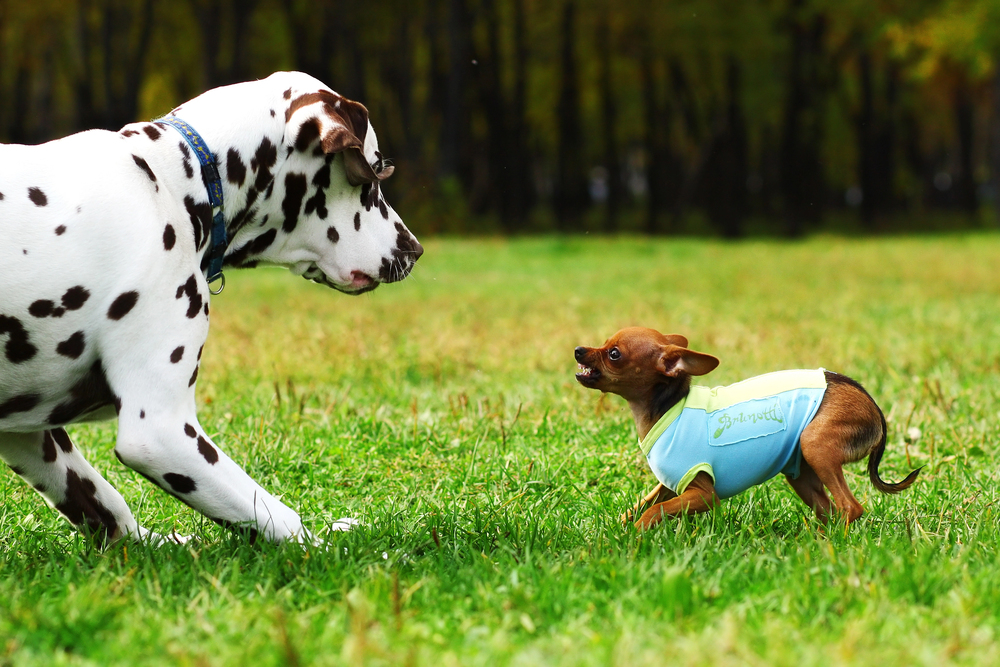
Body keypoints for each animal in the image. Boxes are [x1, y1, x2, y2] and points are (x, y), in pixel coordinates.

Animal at [0, 70, 420, 544]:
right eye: (373, 175)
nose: (415, 249)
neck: (171, 183)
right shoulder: (160, 431)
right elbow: (278, 518)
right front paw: (334, 547)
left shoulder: (27, 434)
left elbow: (107, 508)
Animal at [576, 326, 916, 528]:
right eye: (603, 343)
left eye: (614, 354)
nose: (579, 349)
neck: (668, 408)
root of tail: (873, 407)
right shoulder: (670, 485)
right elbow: (642, 504)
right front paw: (617, 528)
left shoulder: (703, 495)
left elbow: (654, 511)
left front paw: (635, 535)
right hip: (801, 472)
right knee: (830, 509)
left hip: (815, 444)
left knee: (851, 507)